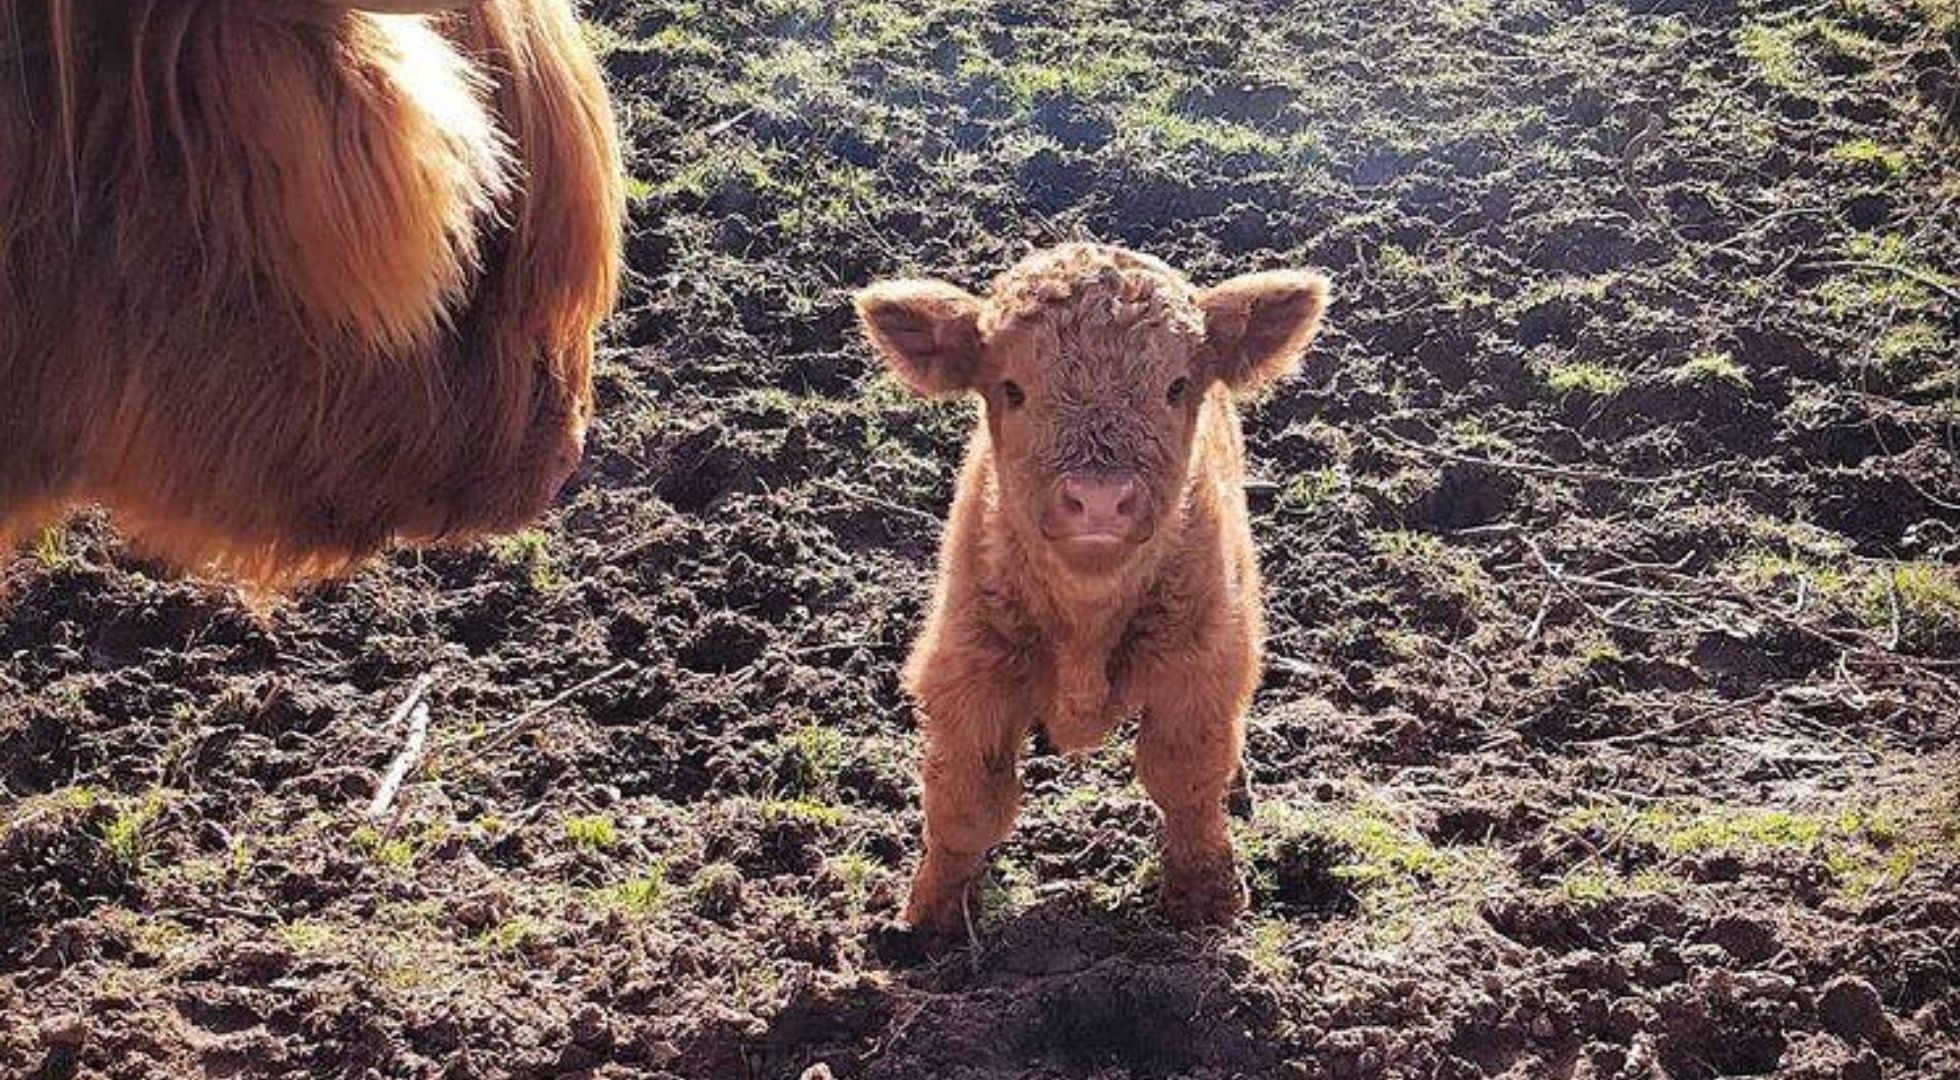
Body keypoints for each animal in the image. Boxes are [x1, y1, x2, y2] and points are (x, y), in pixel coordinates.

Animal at [858, 245, 1332, 929]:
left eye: (1175, 386)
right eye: (1012, 388)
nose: (1100, 499)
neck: (1086, 622)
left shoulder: (1201, 667)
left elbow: (1185, 782)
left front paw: (1206, 899)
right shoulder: (965, 674)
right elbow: (966, 805)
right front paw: (928, 919)